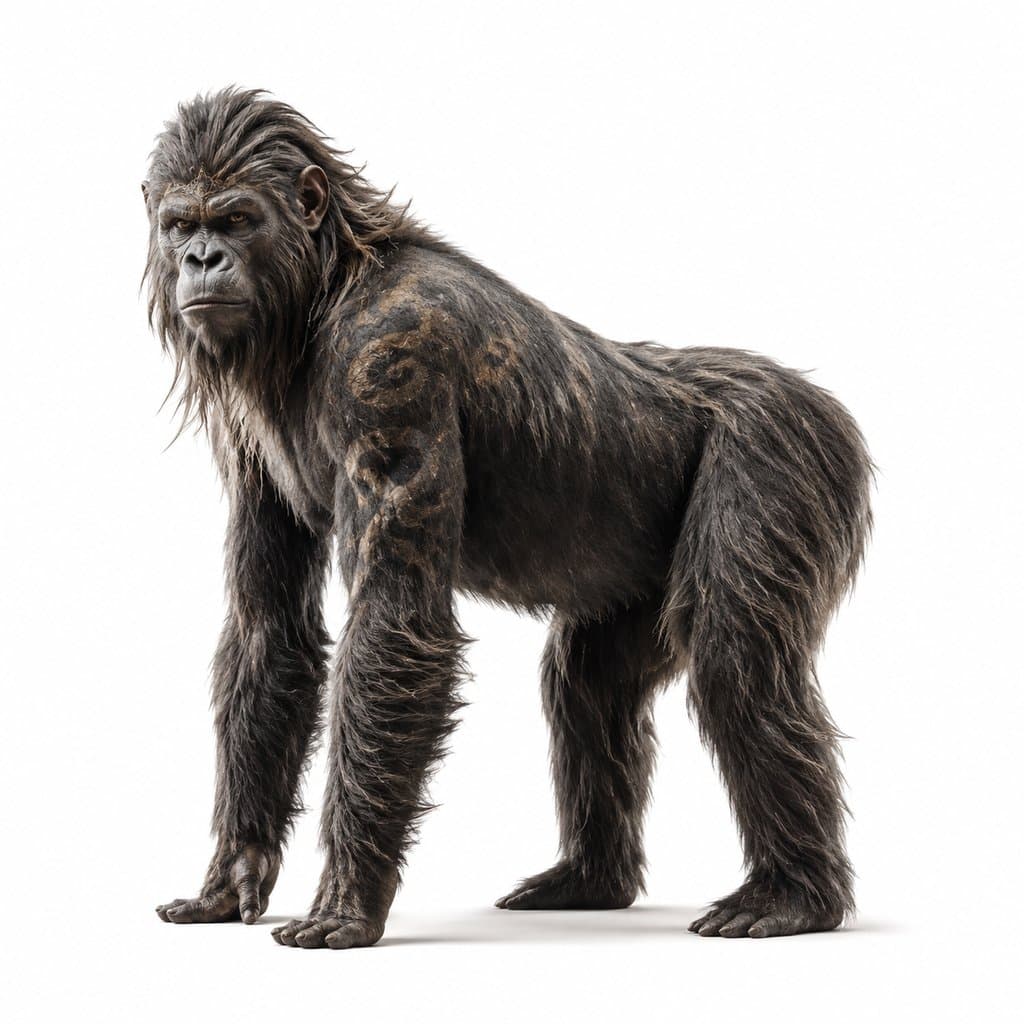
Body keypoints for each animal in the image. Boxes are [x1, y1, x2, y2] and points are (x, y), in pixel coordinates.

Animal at [143, 88, 872, 949]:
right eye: (180, 224)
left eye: (237, 218)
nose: (201, 260)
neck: (317, 299)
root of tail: (820, 401)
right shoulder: (246, 442)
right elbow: (269, 631)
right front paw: (232, 876)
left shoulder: (391, 363)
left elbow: (394, 621)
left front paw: (347, 898)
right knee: (588, 681)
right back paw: (590, 880)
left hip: (785, 453)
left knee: (738, 658)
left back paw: (792, 895)